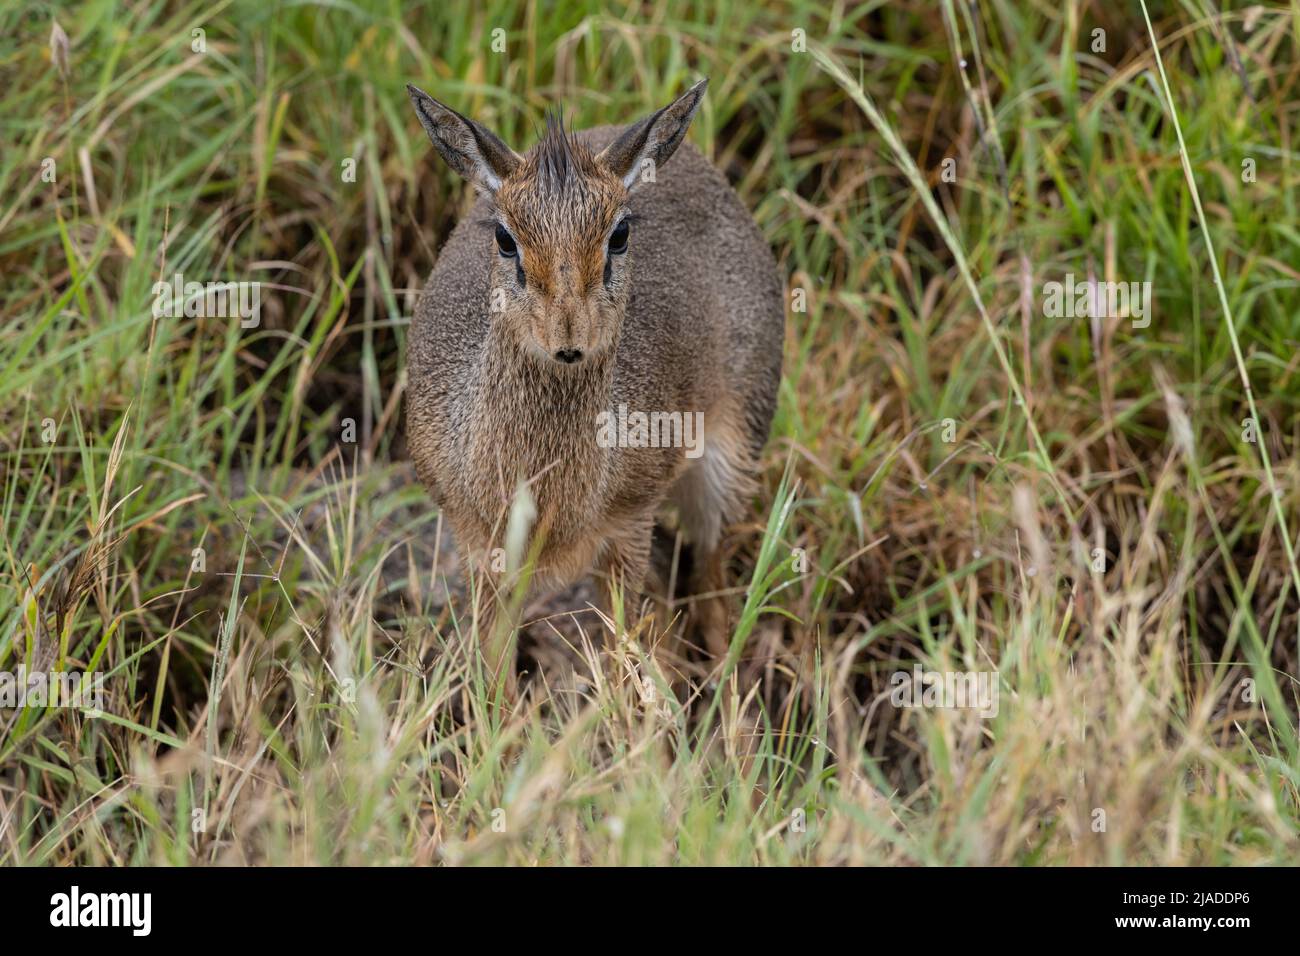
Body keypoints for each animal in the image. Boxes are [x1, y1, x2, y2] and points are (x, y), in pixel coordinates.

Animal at [403, 78, 780, 691]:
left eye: (619, 233)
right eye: (505, 237)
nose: (568, 340)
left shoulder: (629, 526)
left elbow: (620, 662)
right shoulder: (479, 548)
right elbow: (495, 677)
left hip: (728, 466)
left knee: (714, 598)